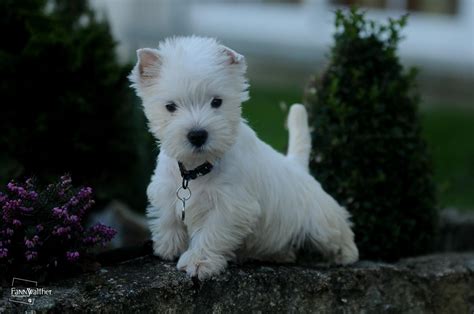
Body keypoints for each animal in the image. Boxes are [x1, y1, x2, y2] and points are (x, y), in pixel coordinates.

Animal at [128, 35, 358, 278]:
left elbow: (212, 232)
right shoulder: (165, 188)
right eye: (170, 106)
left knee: (339, 233)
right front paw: (168, 247)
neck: (197, 169)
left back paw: (344, 255)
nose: (197, 135)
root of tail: (297, 166)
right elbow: (167, 218)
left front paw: (199, 261)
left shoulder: (231, 205)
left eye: (217, 102)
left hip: (320, 223)